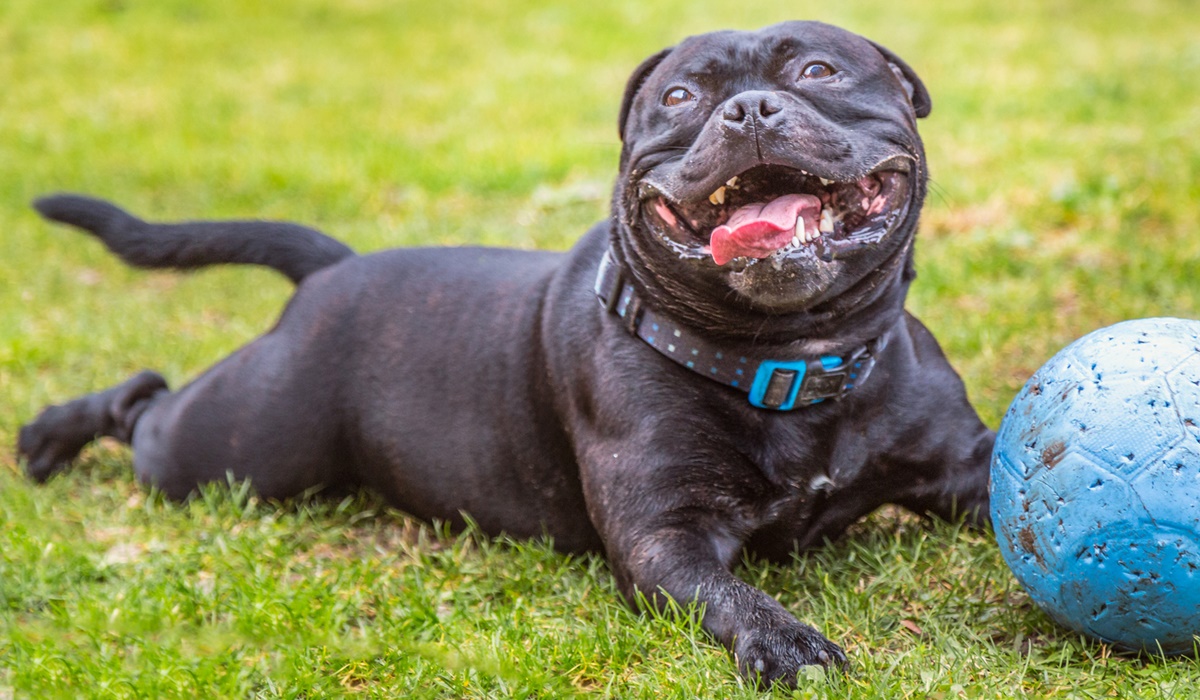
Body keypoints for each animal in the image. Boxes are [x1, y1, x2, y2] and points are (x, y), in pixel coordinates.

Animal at [18, 20, 993, 686]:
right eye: (680, 98)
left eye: (819, 70)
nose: (748, 107)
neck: (795, 360)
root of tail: (335, 269)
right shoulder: (664, 539)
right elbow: (732, 595)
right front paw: (788, 643)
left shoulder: (967, 465)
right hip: (232, 452)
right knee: (144, 404)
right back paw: (47, 438)